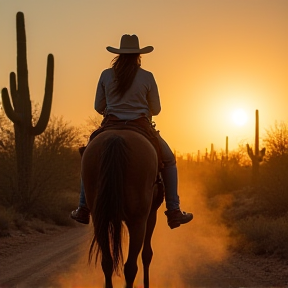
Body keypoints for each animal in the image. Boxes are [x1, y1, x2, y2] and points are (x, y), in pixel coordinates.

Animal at [81, 129, 162, 288]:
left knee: (107, 262)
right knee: (130, 266)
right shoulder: (151, 215)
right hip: (138, 222)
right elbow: (147, 254)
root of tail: (116, 138)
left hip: (100, 219)